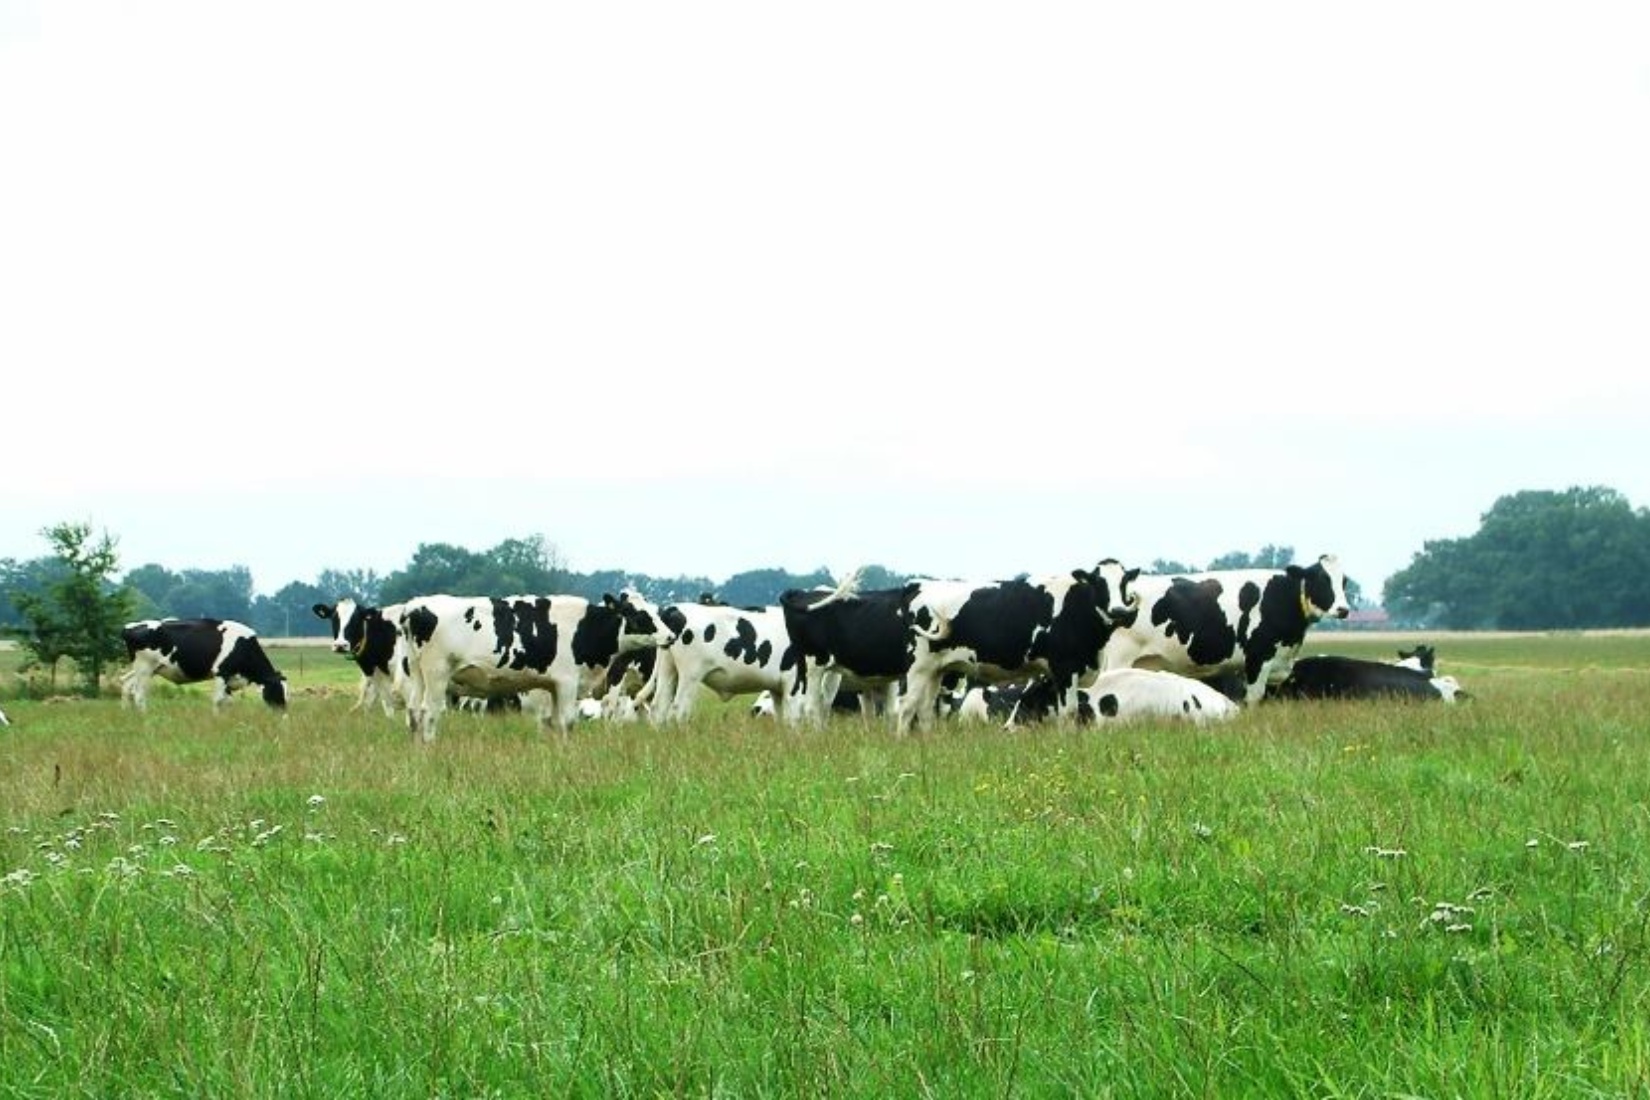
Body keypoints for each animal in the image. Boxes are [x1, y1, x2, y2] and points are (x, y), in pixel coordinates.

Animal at [120, 620, 290, 715]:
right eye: (277, 690)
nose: (283, 715)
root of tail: (129, 627)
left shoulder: (229, 678)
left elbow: (228, 701)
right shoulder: (221, 672)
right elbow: (218, 700)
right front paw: (216, 719)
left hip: (145, 669)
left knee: (126, 686)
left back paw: (127, 713)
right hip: (144, 668)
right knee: (138, 695)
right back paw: (145, 717)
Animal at [396, 590, 660, 745]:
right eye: (639, 616)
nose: (668, 635)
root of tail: (414, 606)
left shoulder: (553, 686)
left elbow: (552, 721)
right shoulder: (567, 682)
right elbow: (568, 720)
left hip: (419, 675)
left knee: (413, 712)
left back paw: (417, 750)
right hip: (437, 675)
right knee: (429, 712)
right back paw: (430, 748)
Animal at [897, 564, 1141, 735]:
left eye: (1123, 583)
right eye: (1099, 583)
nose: (1118, 610)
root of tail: (920, 586)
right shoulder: (1065, 668)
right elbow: (1069, 711)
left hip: (936, 670)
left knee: (925, 707)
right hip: (918, 665)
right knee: (907, 705)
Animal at [1095, 550, 1353, 705]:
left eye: (1344, 581)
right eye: (1322, 579)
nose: (1344, 609)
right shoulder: (1258, 657)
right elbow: (1254, 698)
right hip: (1121, 655)